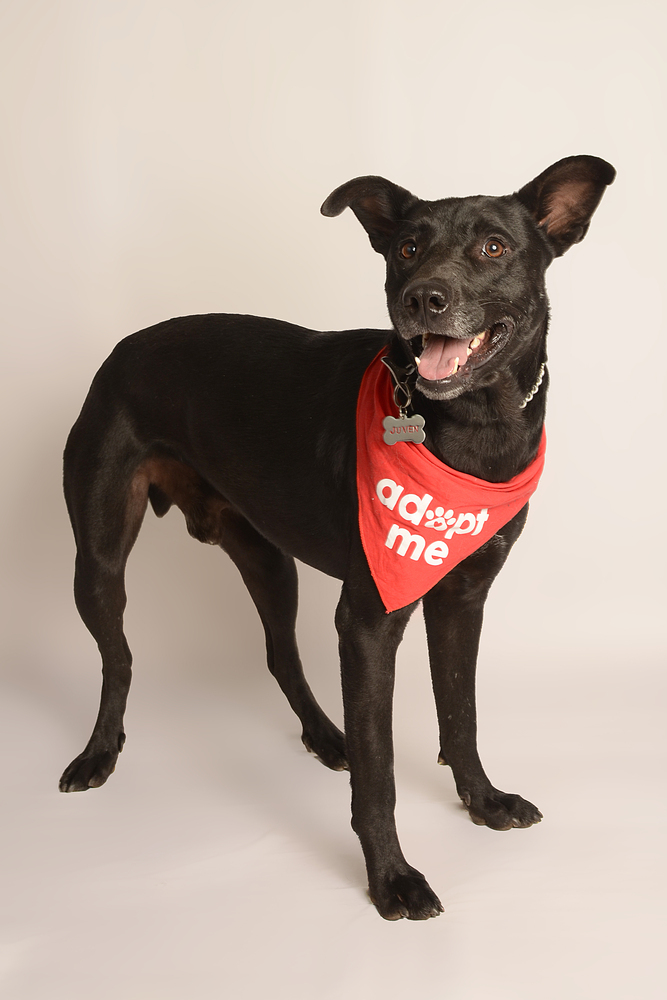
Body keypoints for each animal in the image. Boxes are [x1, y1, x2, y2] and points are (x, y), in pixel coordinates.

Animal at [61, 158, 616, 920]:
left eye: (493, 247)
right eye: (407, 247)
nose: (424, 298)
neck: (476, 424)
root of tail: (125, 345)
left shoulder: (462, 599)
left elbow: (461, 713)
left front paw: (482, 802)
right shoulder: (369, 617)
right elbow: (381, 769)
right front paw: (392, 878)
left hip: (268, 559)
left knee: (279, 655)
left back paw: (326, 737)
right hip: (99, 560)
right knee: (118, 658)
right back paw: (99, 752)